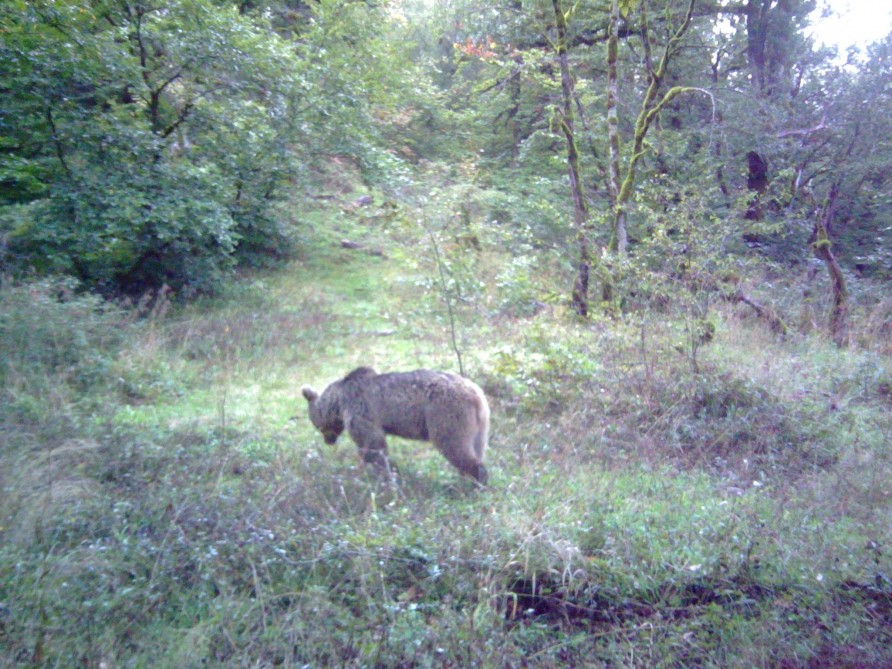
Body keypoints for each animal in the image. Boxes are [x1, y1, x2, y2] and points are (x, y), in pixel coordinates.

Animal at [304, 368, 492, 482]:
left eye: (317, 425)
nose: (328, 441)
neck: (338, 401)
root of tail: (476, 394)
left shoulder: (360, 411)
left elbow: (372, 443)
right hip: (480, 425)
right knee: (476, 448)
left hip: (445, 414)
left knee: (454, 446)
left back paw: (475, 479)